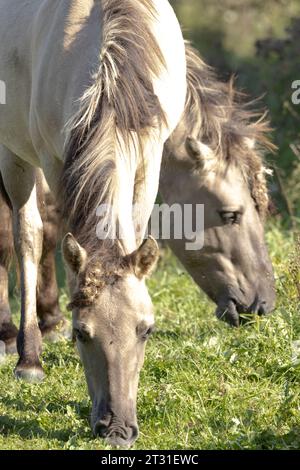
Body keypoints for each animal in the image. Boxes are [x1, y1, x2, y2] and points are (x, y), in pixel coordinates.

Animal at [0, 0, 186, 446]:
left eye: (146, 330)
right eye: (83, 333)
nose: (116, 429)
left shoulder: (149, 158)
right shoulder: (55, 161)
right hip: (13, 154)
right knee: (27, 234)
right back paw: (27, 353)